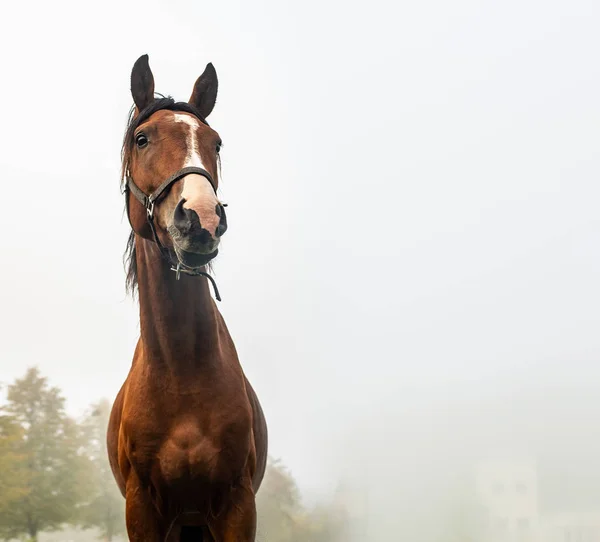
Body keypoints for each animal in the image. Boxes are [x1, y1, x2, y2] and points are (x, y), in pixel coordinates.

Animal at [107, 53, 268, 540]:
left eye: (215, 143)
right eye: (141, 139)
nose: (200, 218)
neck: (182, 374)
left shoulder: (237, 504)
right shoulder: (142, 508)